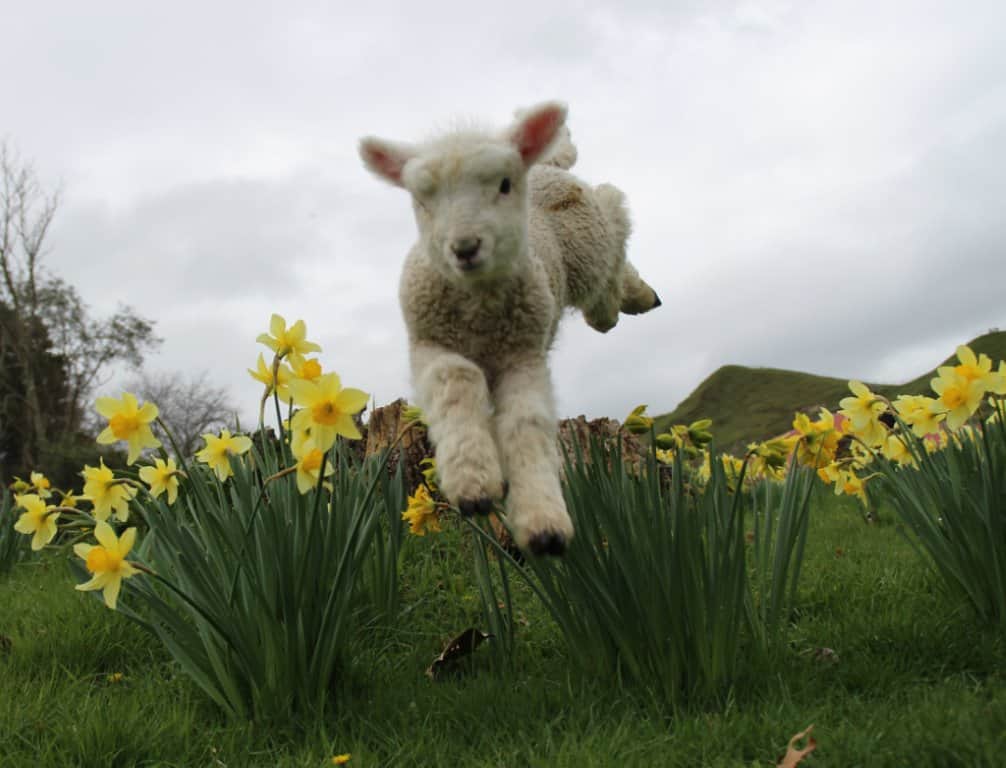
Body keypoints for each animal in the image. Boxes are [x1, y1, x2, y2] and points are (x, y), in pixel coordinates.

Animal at [359, 101, 660, 556]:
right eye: (422, 199)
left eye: (503, 184)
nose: (465, 248)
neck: (478, 309)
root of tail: (545, 164)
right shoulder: (430, 343)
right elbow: (458, 380)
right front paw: (473, 484)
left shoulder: (524, 353)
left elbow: (526, 421)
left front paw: (544, 523)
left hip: (589, 240)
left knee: (613, 214)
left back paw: (632, 298)